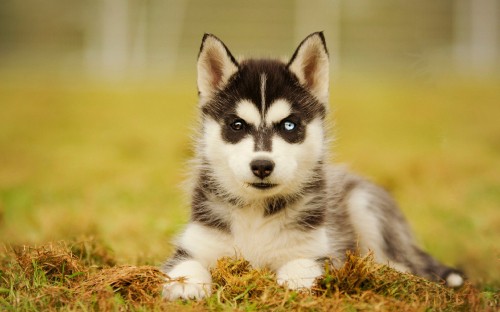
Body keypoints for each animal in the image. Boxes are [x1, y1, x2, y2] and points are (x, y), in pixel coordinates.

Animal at [162, 32, 462, 300]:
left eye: (289, 125)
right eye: (237, 125)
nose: (262, 165)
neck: (257, 213)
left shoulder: (316, 250)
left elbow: (300, 265)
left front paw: (292, 283)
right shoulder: (195, 244)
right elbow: (186, 264)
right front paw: (186, 285)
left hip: (364, 204)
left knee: (402, 260)